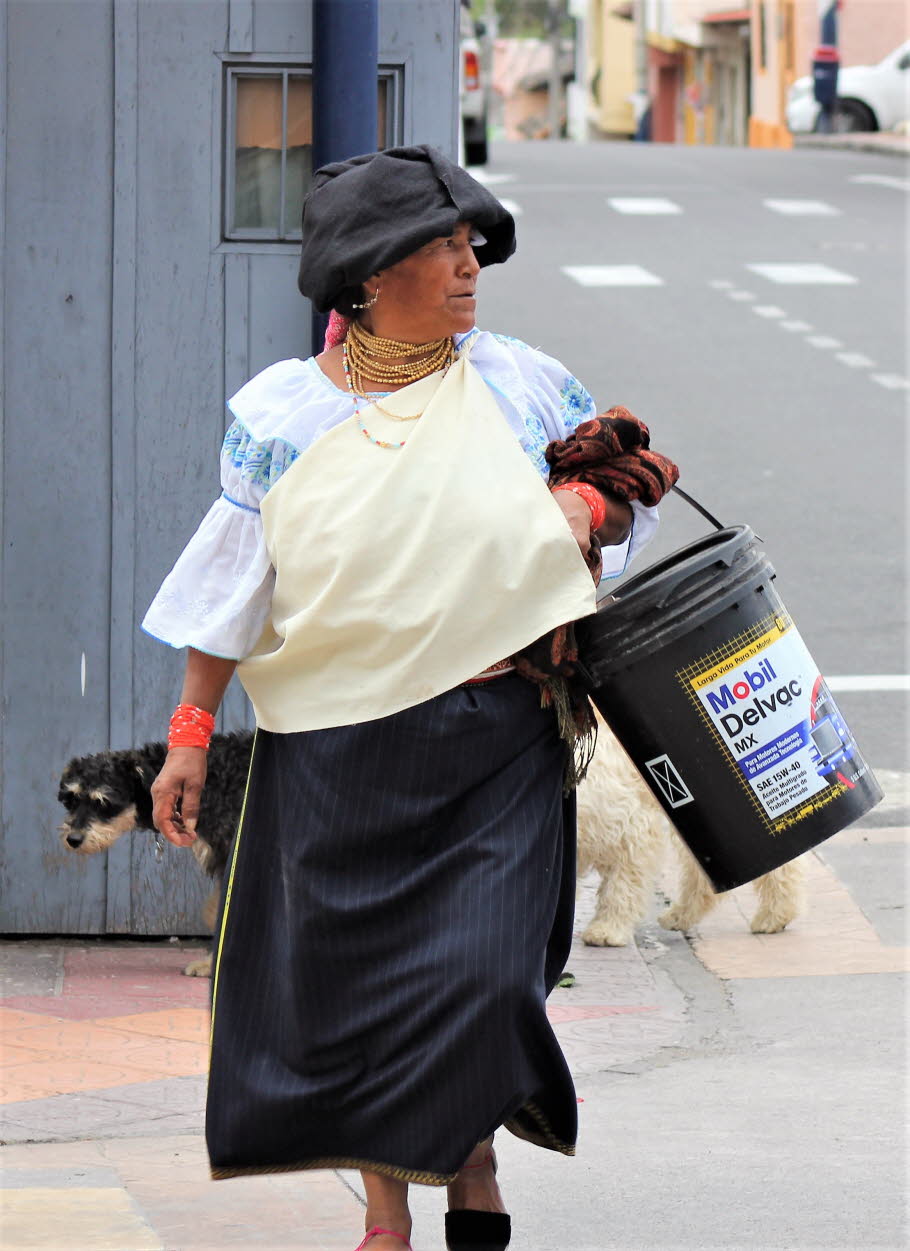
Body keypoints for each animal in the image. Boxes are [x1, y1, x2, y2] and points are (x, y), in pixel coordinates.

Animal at [575, 725, 806, 945]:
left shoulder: (632, 828)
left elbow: (620, 887)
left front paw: (607, 929)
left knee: (779, 862)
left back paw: (774, 915)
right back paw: (681, 916)